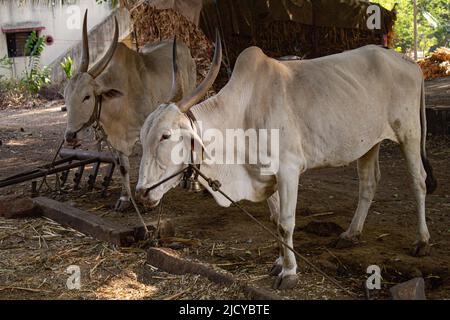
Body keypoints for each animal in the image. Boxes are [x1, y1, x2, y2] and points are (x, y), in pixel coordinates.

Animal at [134, 37, 436, 290]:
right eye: (143, 135)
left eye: (165, 135)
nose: (141, 193)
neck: (243, 114)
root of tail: (408, 62)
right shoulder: (268, 176)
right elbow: (277, 219)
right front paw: (280, 263)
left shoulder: (289, 171)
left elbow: (285, 223)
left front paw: (289, 272)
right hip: (368, 143)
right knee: (369, 183)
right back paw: (351, 233)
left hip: (410, 133)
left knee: (418, 182)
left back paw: (421, 240)